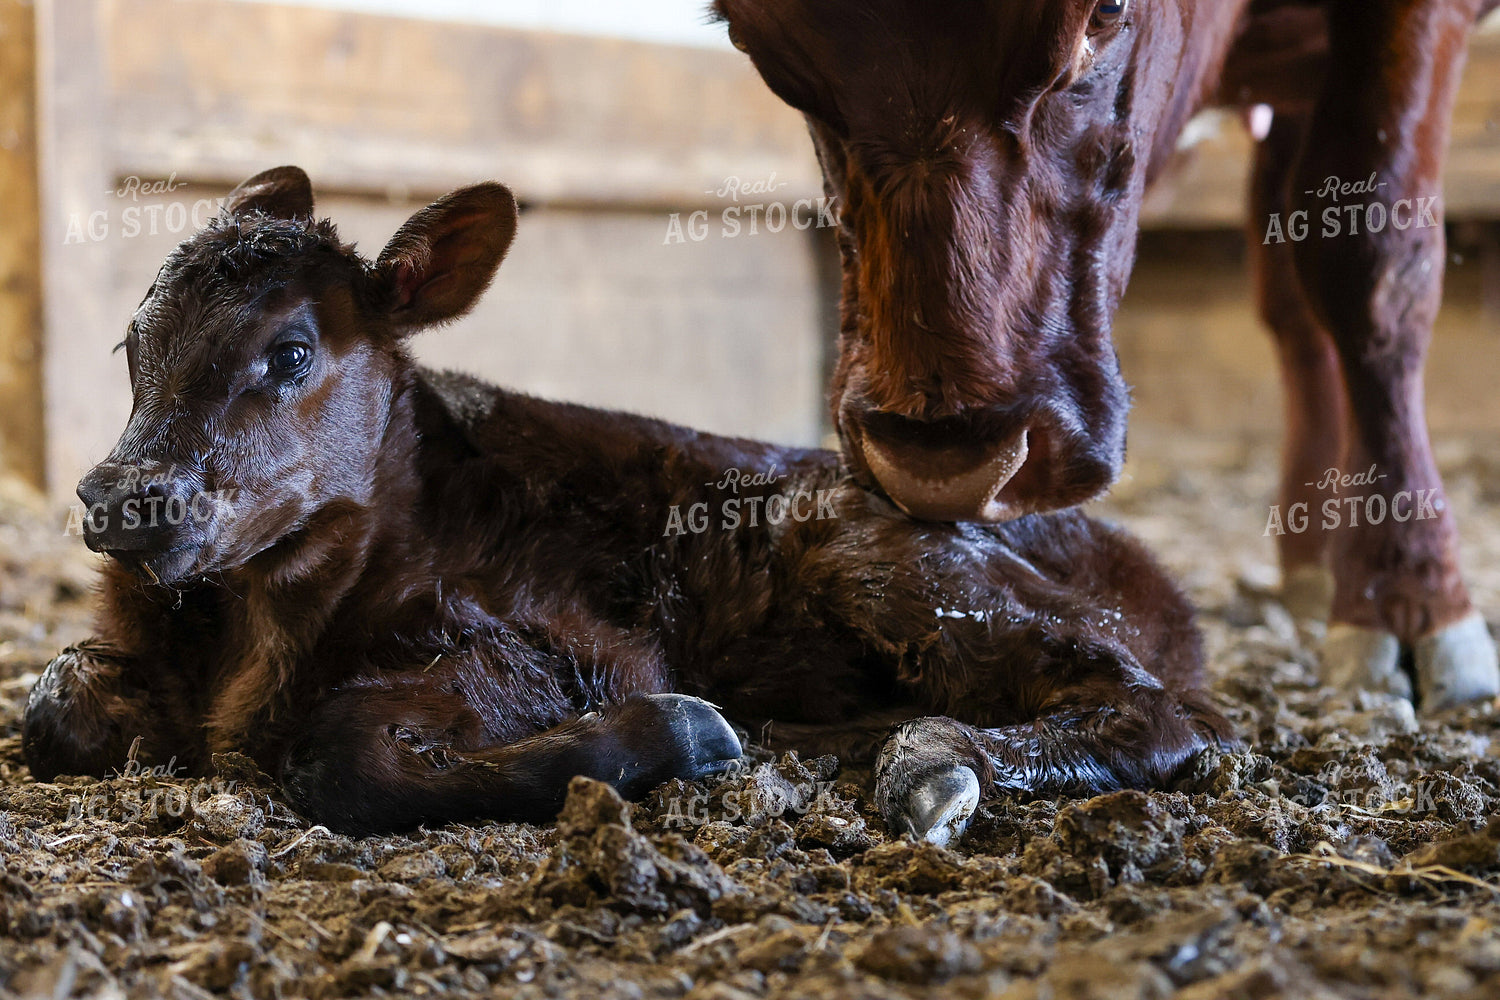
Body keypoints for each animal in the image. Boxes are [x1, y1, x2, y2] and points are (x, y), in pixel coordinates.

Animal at [22, 167, 1230, 844]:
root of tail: (1147, 569)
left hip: (891, 557)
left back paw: (933, 762)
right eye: (131, 347)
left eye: (290, 352)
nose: (119, 501)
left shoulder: (564, 642)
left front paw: (679, 731)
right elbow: (52, 706)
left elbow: (342, 751)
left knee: (1157, 708)